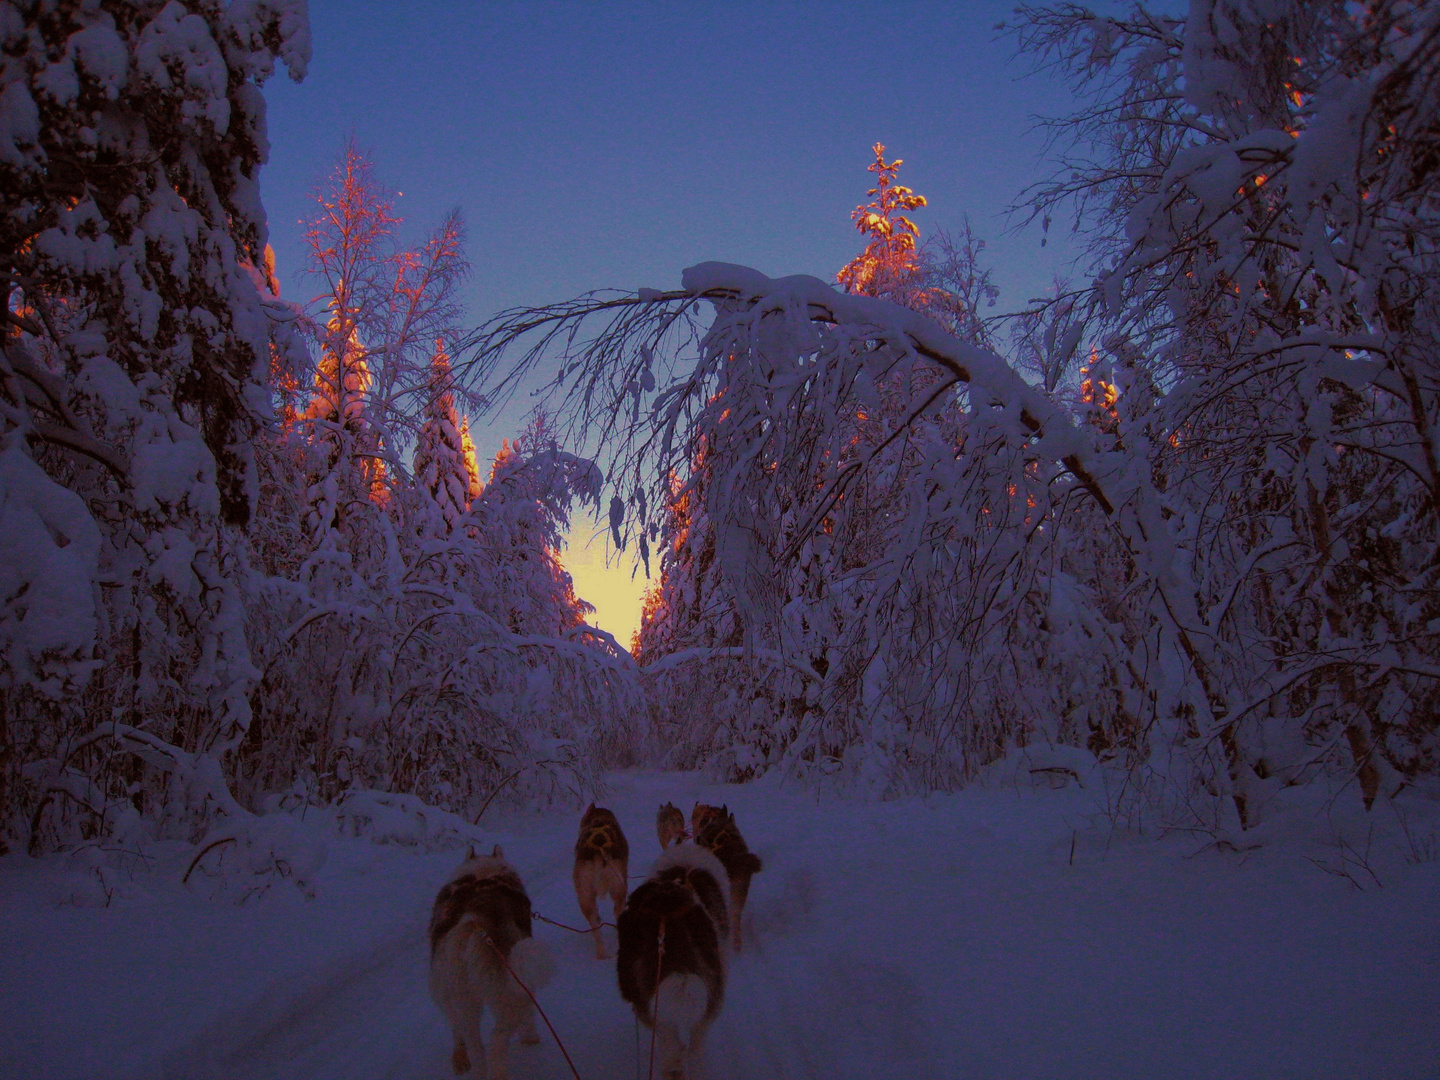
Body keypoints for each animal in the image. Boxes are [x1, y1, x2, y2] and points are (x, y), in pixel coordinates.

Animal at [426, 852, 550, 1077]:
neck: (483, 872)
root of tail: (474, 921)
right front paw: (530, 1038)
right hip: (508, 993)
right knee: (498, 1039)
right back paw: (501, 1067)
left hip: (459, 997)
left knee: (469, 1040)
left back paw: (467, 1062)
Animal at [570, 806, 627, 961]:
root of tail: (599, 851)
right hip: (618, 889)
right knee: (616, 912)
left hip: (586, 897)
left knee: (596, 923)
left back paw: (602, 954)